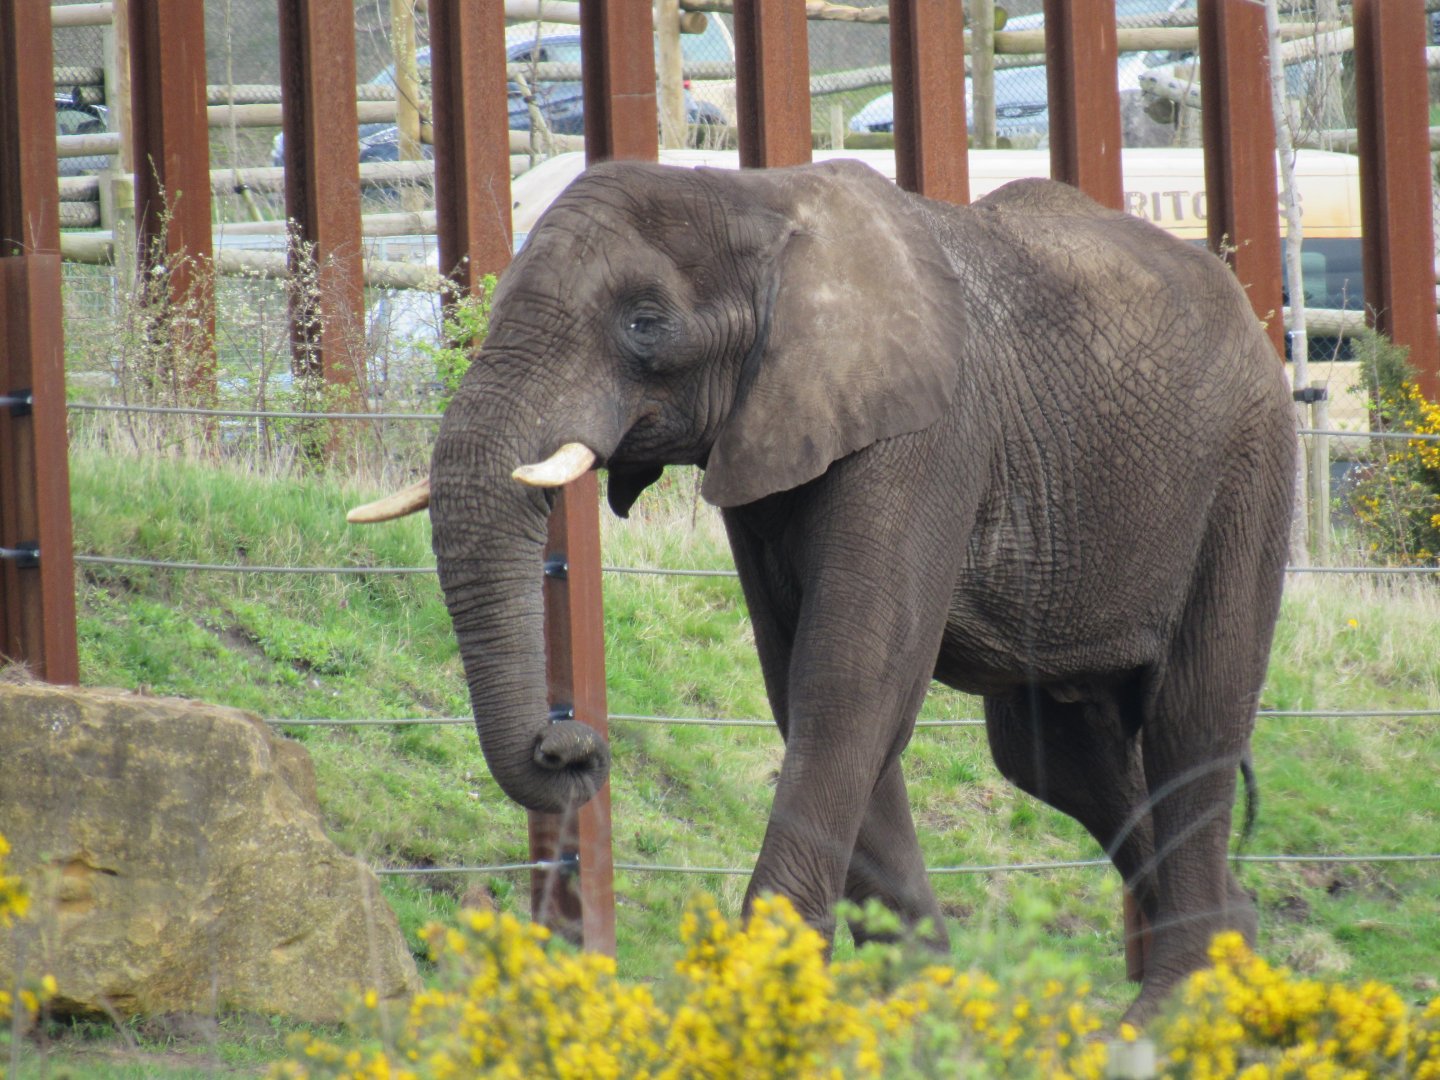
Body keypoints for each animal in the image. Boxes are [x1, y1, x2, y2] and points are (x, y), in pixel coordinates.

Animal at [350, 158, 1295, 1022]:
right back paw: (1235, 959)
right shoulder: (766, 437)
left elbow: (851, 678)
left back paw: (1174, 1012)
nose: (568, 744)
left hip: (1248, 463)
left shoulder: (929, 433)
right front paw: (920, 1004)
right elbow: (805, 685)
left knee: (1191, 721)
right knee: (1064, 761)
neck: (755, 199)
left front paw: (758, 1002)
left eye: (646, 324)